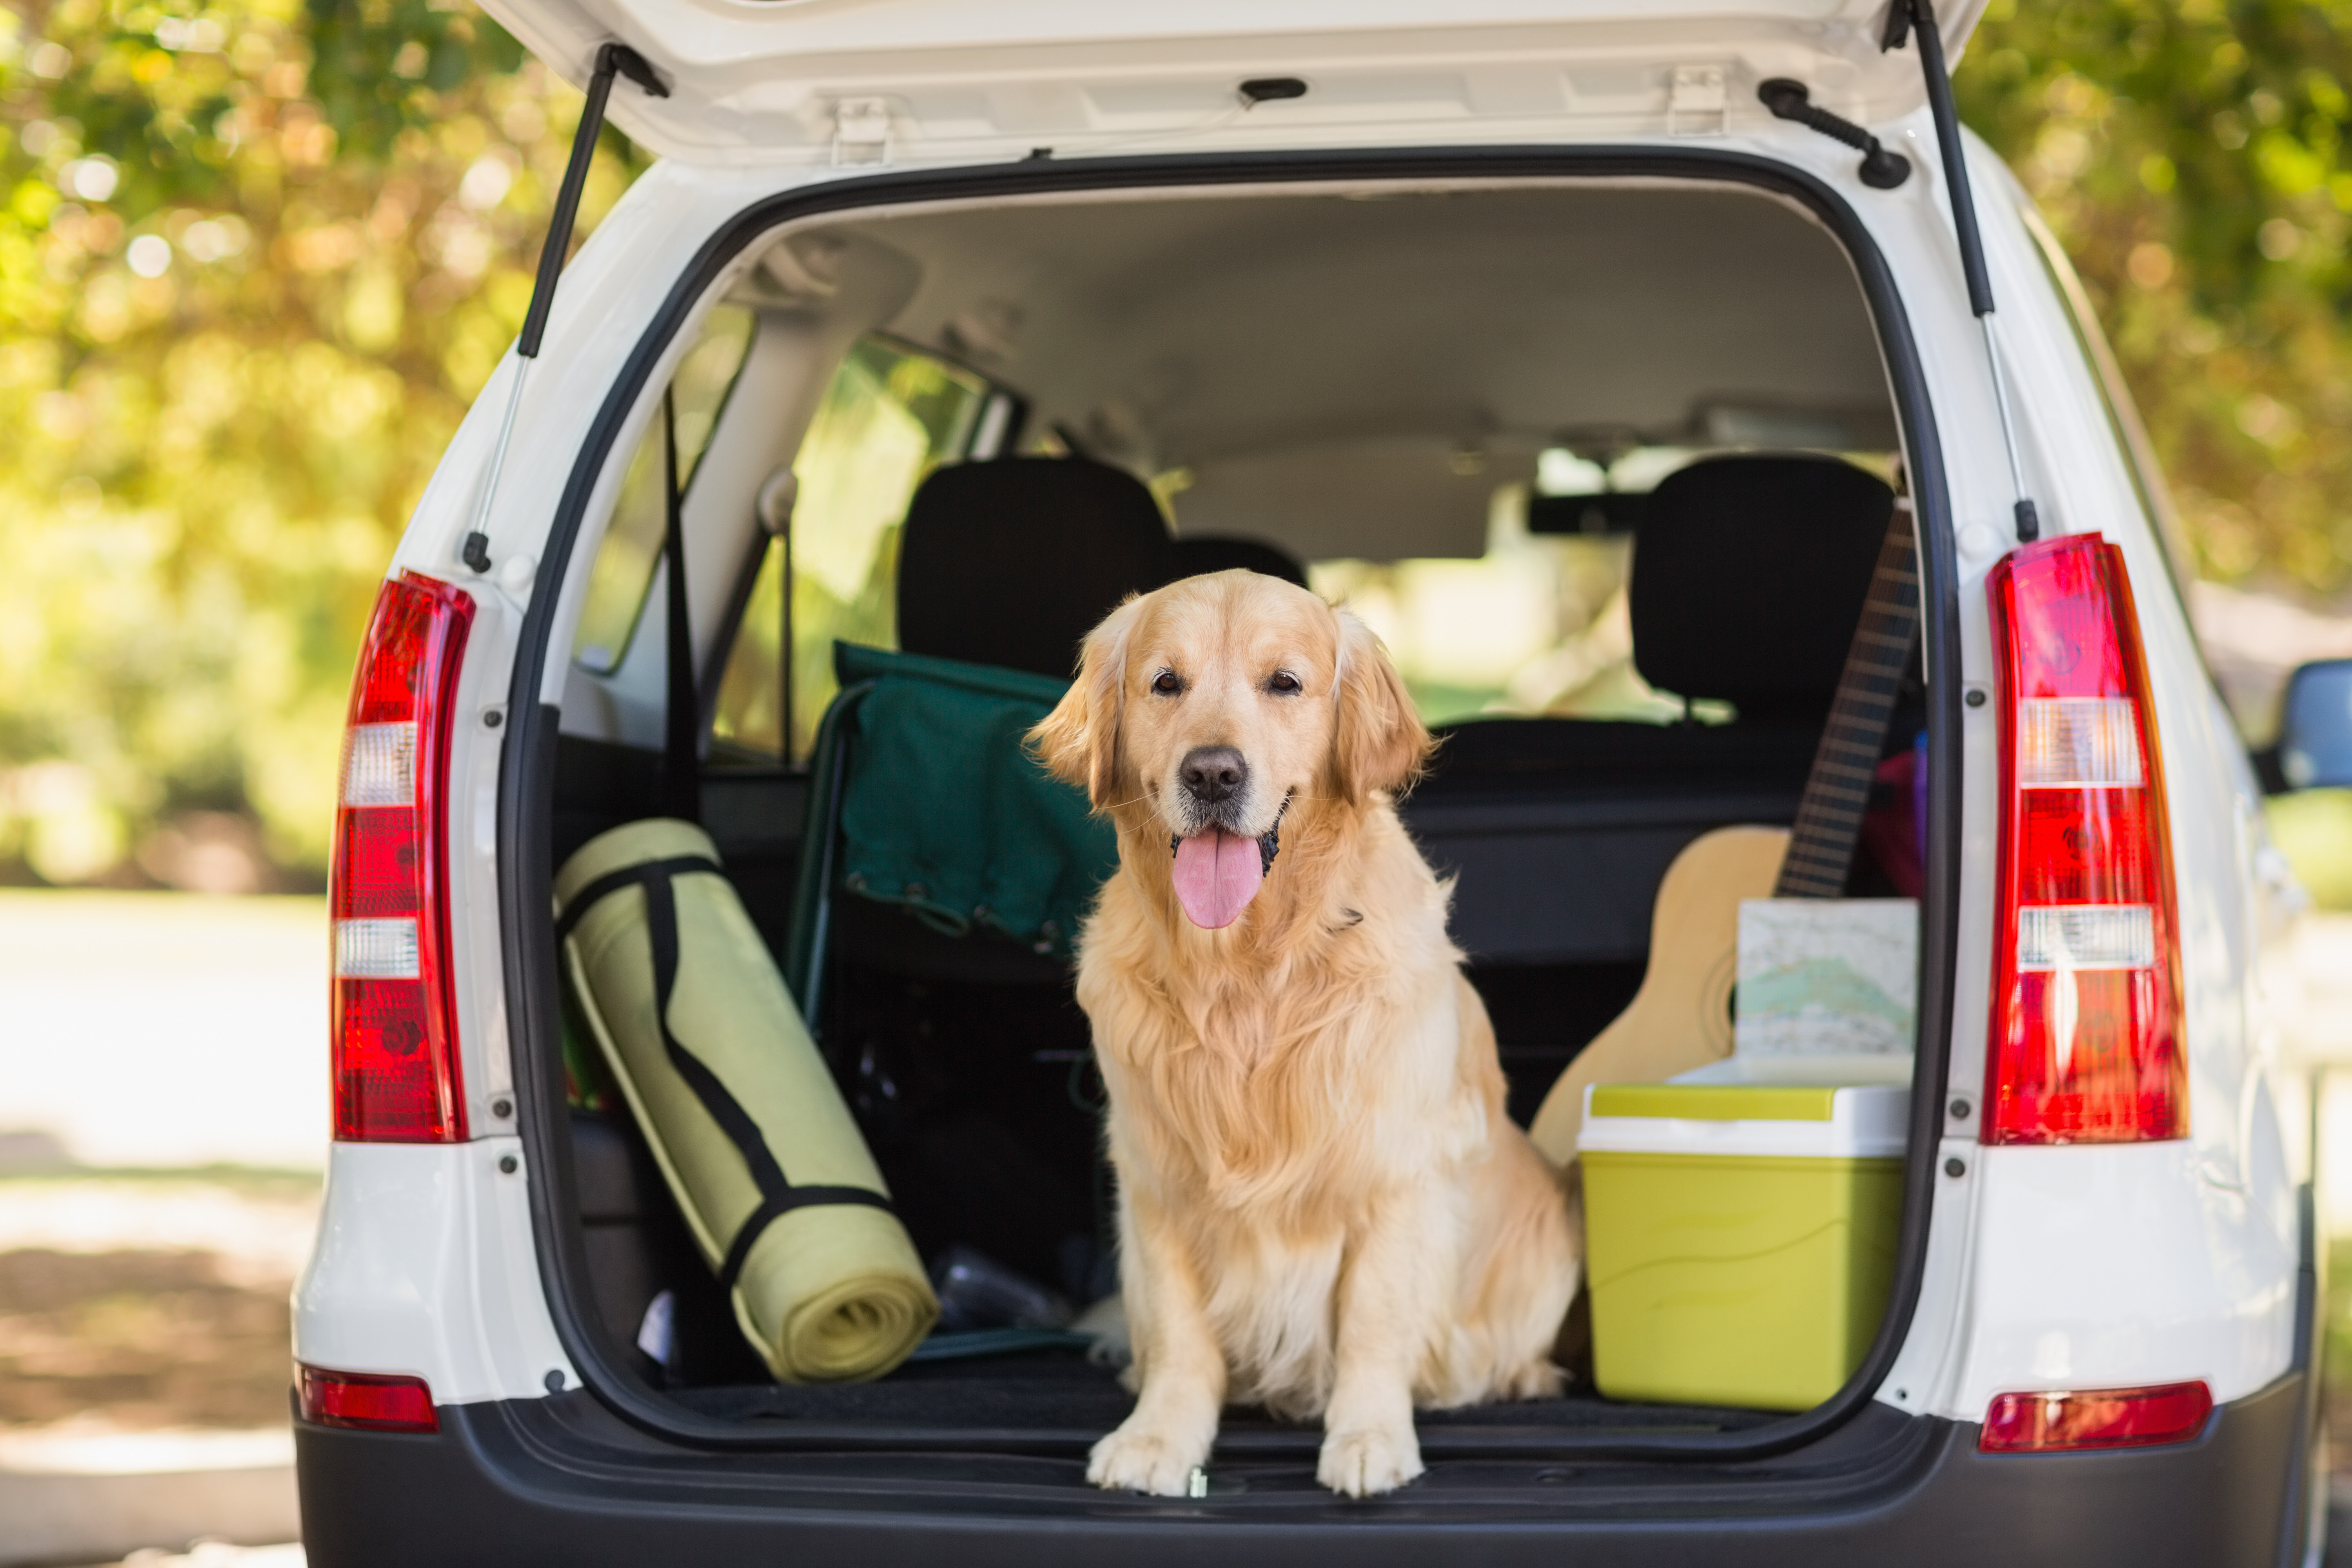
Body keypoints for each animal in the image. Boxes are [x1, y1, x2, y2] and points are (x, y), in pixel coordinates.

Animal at [1030, 564, 1580, 1495]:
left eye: (1284, 683)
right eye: (1165, 683)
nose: (1214, 774)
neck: (1248, 970)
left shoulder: (1395, 1174)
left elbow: (1374, 1321)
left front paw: (1368, 1438)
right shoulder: (1156, 1174)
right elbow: (1178, 1332)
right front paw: (1160, 1439)